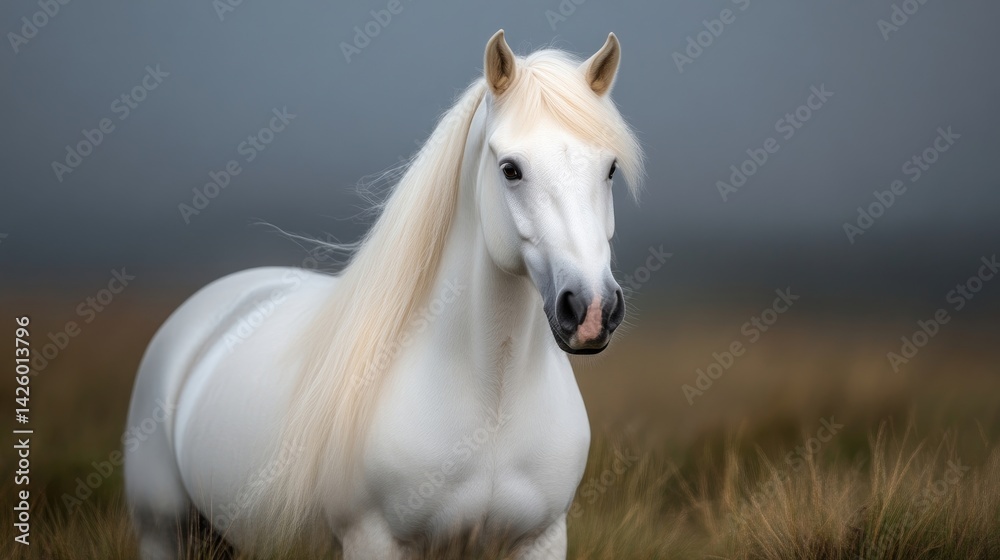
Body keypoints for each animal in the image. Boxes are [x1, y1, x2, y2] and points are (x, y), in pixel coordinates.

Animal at [124, 29, 644, 559]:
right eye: (511, 169)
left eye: (609, 169)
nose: (591, 309)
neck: (492, 404)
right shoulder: (374, 538)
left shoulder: (541, 539)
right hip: (162, 531)